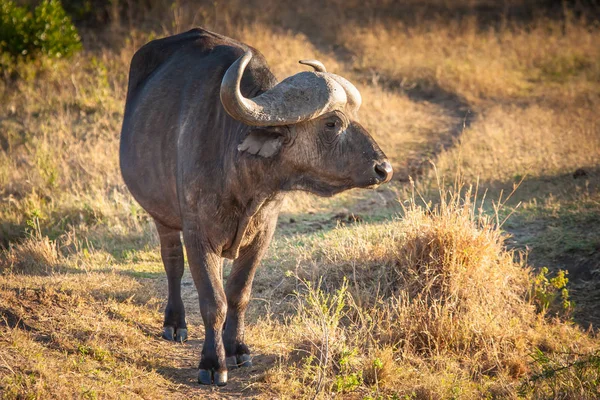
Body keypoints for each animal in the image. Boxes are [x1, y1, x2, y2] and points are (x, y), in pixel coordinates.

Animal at [120, 28, 394, 384]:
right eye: (332, 123)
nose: (384, 168)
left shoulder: (263, 233)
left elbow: (238, 293)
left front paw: (236, 348)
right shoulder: (198, 235)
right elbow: (213, 300)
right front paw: (213, 363)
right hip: (161, 215)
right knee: (172, 263)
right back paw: (175, 324)